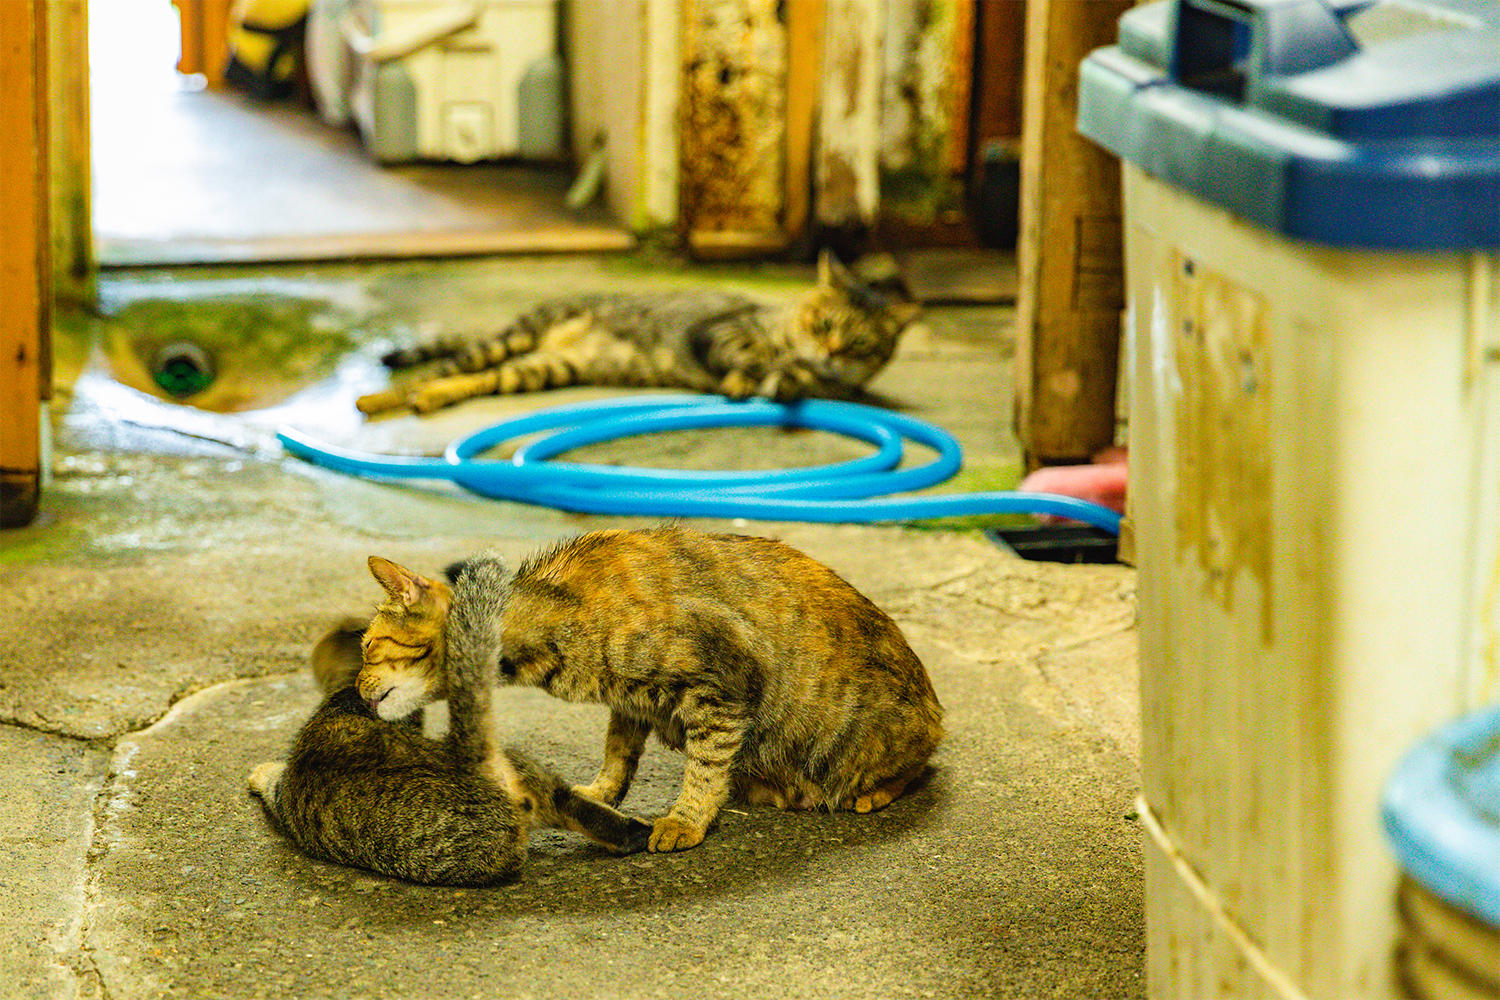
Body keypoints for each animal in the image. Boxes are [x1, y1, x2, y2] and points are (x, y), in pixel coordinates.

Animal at [246, 560, 651, 887]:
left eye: (368, 647)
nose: (362, 688)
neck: (346, 700)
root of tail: (473, 762)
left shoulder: (283, 793)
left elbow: (272, 777)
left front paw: (259, 772)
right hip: (543, 781)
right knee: (600, 818)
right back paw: (642, 833)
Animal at [357, 250, 918, 413]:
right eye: (822, 324)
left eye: (861, 344)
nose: (833, 352)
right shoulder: (720, 331)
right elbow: (754, 355)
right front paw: (760, 374)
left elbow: (792, 382)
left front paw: (789, 382)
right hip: (513, 338)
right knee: (435, 370)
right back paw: (376, 400)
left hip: (542, 369)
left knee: (471, 380)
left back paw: (427, 399)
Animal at [357, 524, 942, 851]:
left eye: (367, 646)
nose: (358, 687)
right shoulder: (632, 701)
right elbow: (617, 751)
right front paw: (602, 792)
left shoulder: (721, 688)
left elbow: (706, 767)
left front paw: (686, 819)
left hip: (877, 739)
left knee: (921, 767)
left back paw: (869, 792)